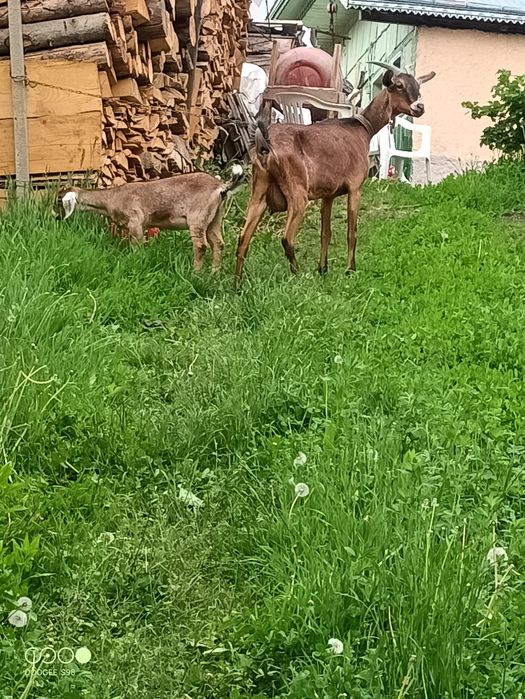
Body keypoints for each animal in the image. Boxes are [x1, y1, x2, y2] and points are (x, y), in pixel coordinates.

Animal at [55, 165, 244, 272]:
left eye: (58, 200)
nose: (55, 217)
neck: (112, 198)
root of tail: (221, 187)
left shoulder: (135, 222)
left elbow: (136, 248)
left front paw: (136, 265)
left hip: (198, 217)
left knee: (201, 246)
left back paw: (195, 275)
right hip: (215, 218)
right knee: (218, 243)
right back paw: (214, 274)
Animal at [235, 64, 435, 282]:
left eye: (418, 86)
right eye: (398, 85)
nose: (420, 107)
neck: (363, 128)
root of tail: (265, 143)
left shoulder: (328, 195)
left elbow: (326, 232)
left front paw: (323, 268)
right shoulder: (355, 188)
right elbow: (351, 231)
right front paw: (350, 269)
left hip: (259, 190)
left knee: (243, 238)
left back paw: (238, 283)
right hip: (297, 192)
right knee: (287, 238)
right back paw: (298, 275)